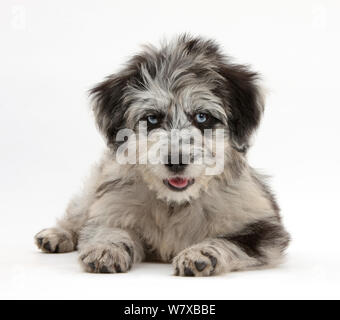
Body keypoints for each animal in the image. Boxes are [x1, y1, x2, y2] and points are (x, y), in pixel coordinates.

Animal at [34, 34, 290, 276]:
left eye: (202, 117)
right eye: (152, 118)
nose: (176, 161)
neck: (174, 204)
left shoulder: (263, 230)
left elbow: (230, 242)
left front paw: (201, 253)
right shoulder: (111, 206)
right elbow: (109, 230)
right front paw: (106, 249)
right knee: (78, 211)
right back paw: (56, 235)